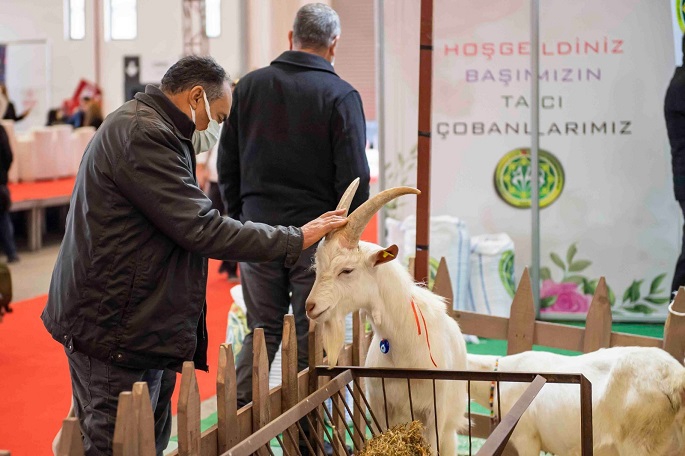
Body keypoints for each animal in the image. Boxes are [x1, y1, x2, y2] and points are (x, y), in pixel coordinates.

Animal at [306, 183, 470, 454]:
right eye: (317, 267)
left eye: (347, 270)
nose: (311, 306)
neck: (404, 350)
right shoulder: (379, 404)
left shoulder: (436, 412)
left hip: (450, 426)